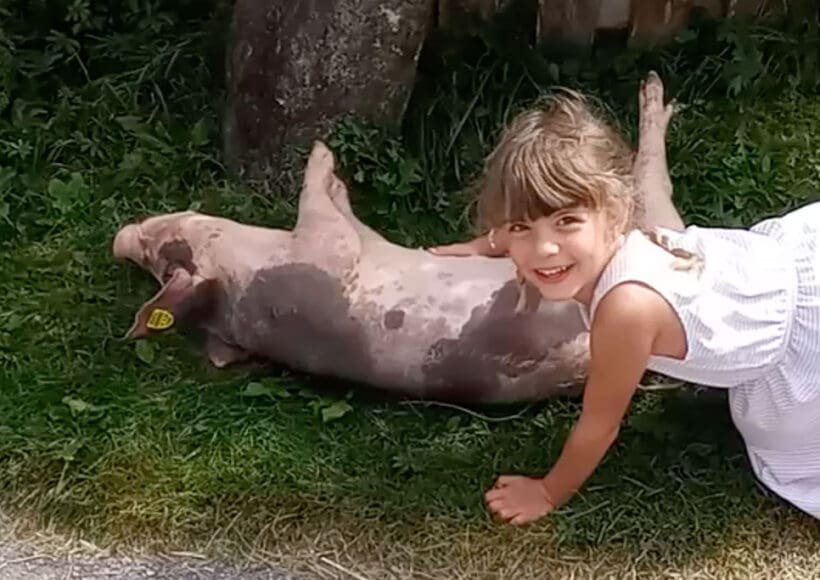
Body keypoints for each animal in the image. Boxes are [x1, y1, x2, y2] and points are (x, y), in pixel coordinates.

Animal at [112, 71, 684, 404]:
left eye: (154, 257)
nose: (122, 237)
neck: (243, 279)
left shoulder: (352, 240)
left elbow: (341, 208)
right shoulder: (324, 255)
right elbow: (319, 206)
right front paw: (322, 151)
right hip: (644, 232)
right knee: (653, 187)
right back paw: (654, 92)